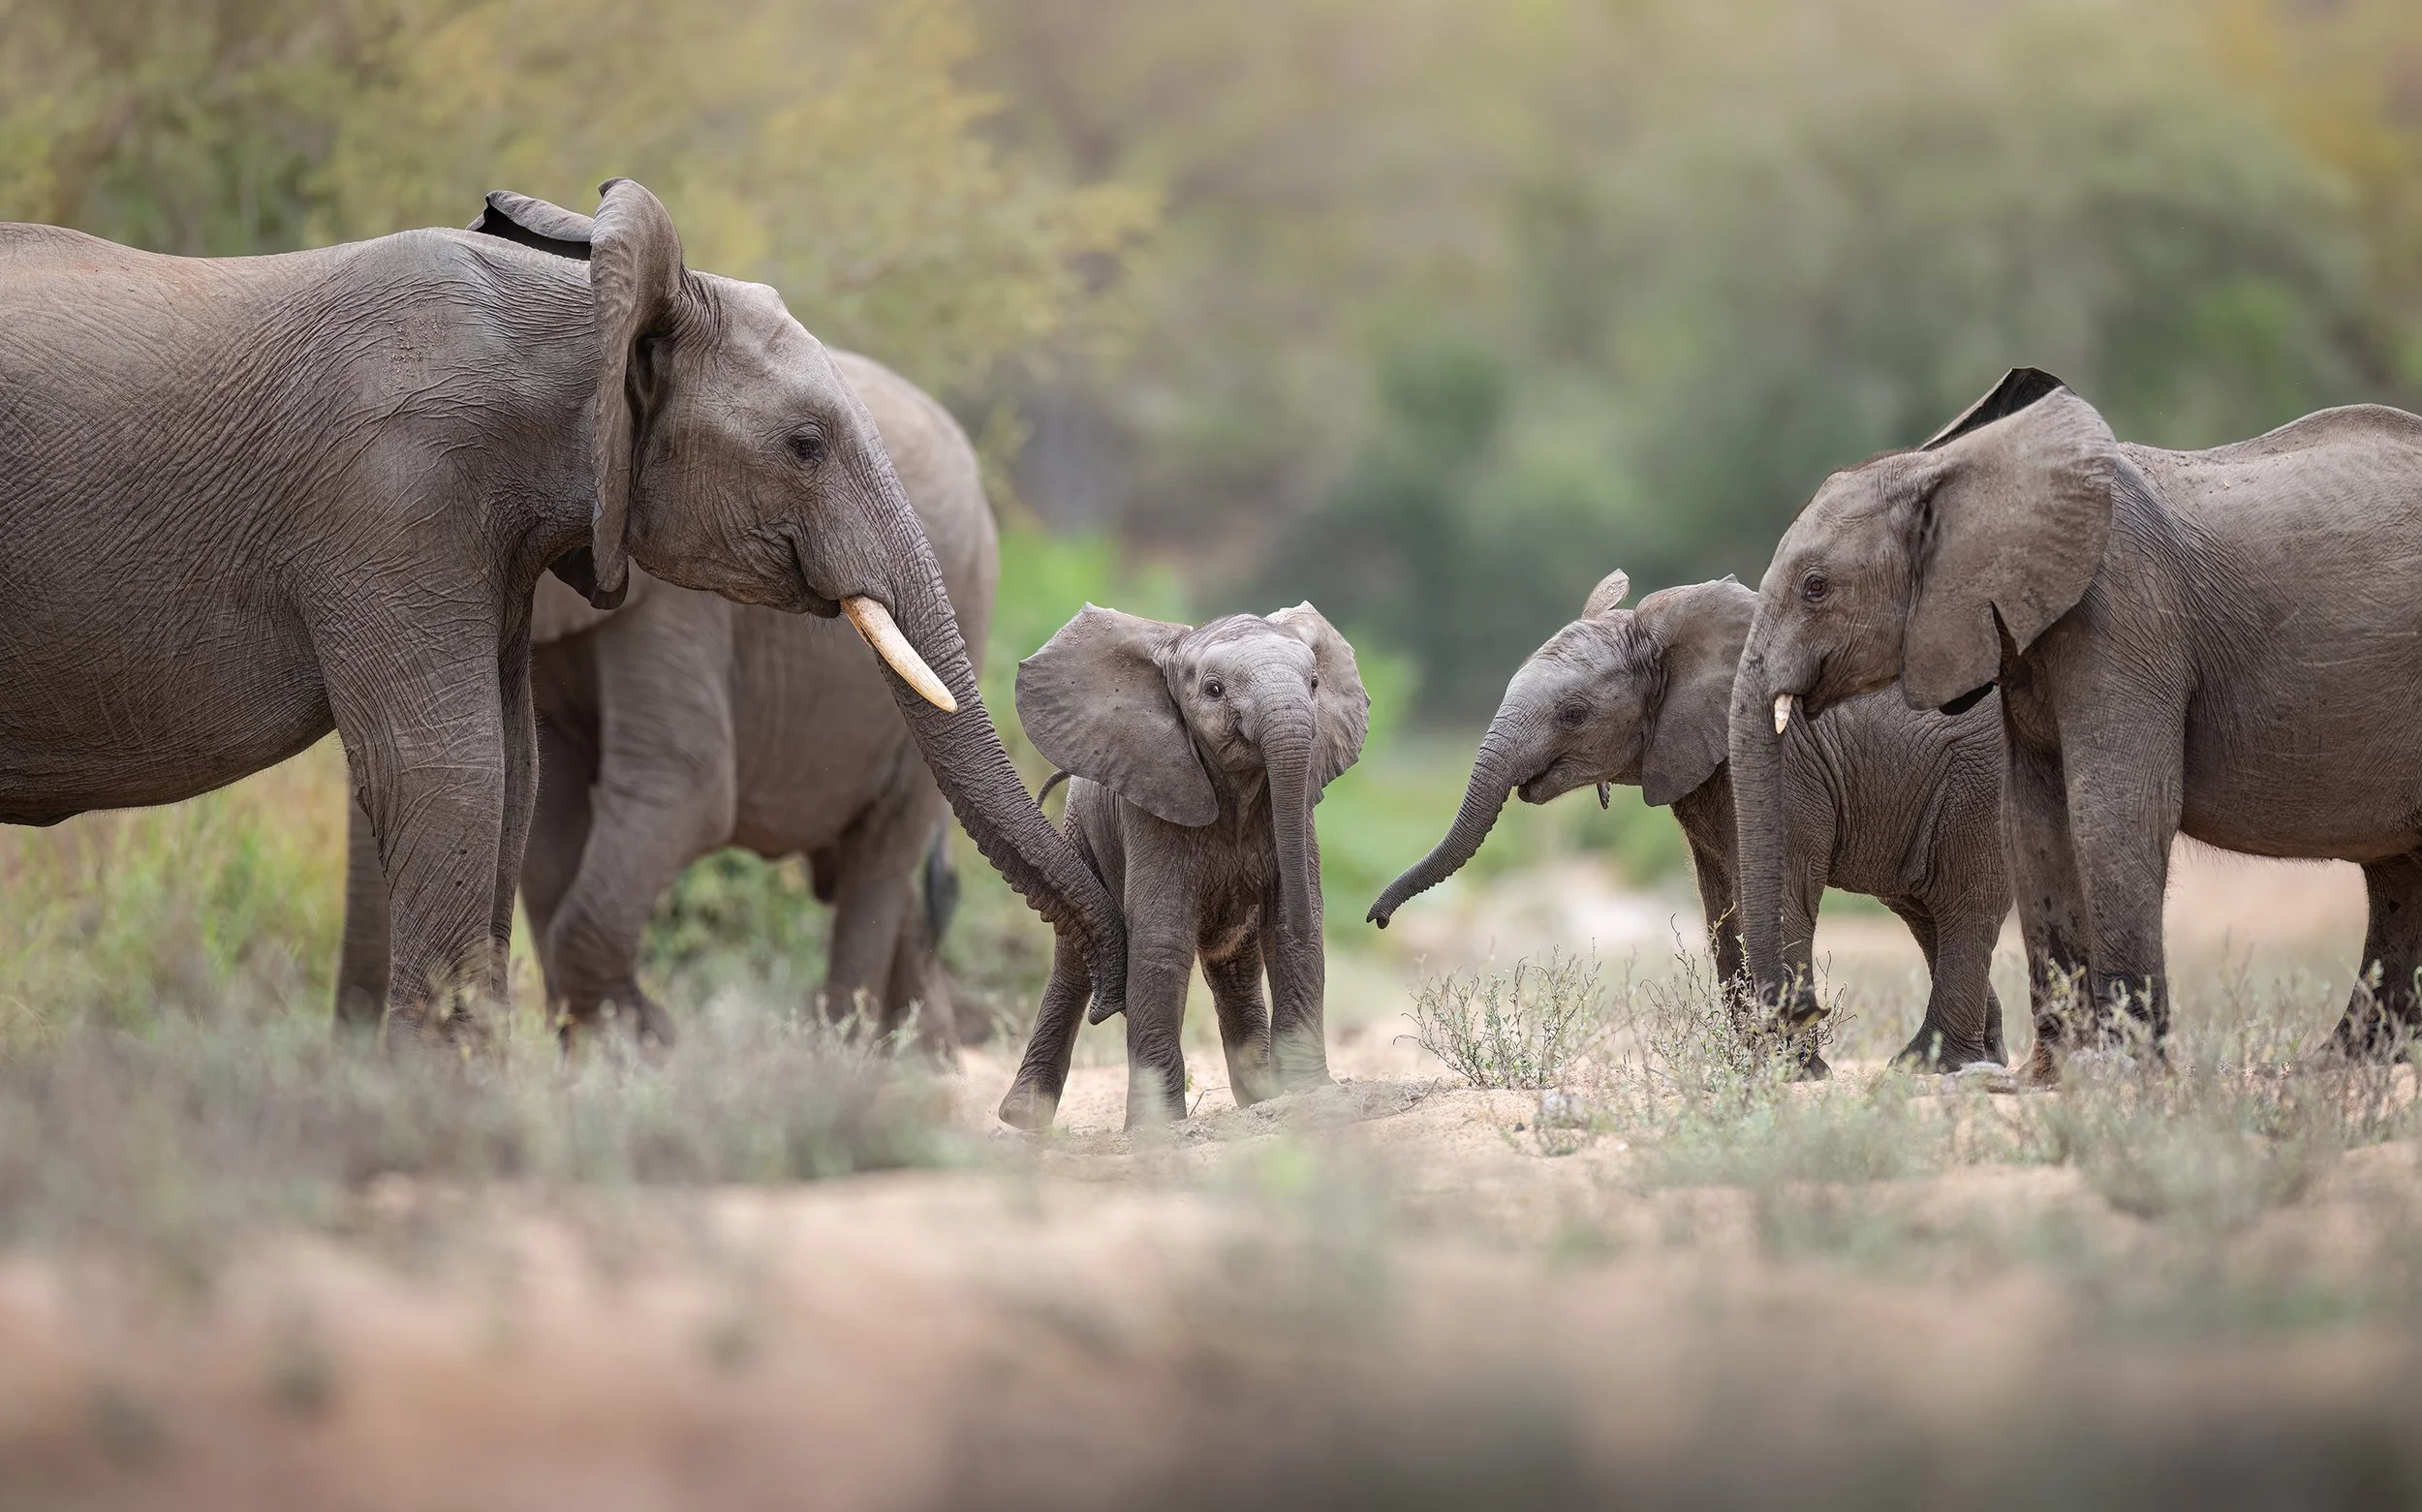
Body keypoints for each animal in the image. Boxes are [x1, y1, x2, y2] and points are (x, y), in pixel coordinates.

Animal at [335, 348, 992, 1047]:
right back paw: (918, 1052)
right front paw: (611, 1045)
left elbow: (682, 784)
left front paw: (646, 1044)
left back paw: (842, 1054)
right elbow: (547, 804)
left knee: (882, 854)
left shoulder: (678, 606)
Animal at [998, 604, 1371, 1128]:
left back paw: (1258, 1096)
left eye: (1315, 682)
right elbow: (1161, 939)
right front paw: (1156, 1129)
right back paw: (1022, 1116)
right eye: (1214, 690)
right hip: (1080, 836)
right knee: (1072, 959)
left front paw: (1306, 1094)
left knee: (1235, 968)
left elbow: (1290, 935)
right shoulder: (1153, 808)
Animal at [1368, 571, 2013, 1072]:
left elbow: (1779, 898)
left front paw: (1794, 1072)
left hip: (1981, 781)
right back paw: (1980, 1060)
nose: (1377, 920)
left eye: (1574, 714)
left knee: (1963, 902)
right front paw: (1757, 1067)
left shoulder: (1782, 764)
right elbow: (1721, 909)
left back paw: (1936, 1067)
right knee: (1925, 912)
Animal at [1729, 366, 2422, 1079]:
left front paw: (2126, 1071)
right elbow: (2033, 821)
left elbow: (2113, 811)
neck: (1957, 467)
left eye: (1816, 586)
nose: (1813, 1008)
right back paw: (2344, 1063)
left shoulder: (2125, 615)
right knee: (2397, 872)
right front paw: (2052, 1075)